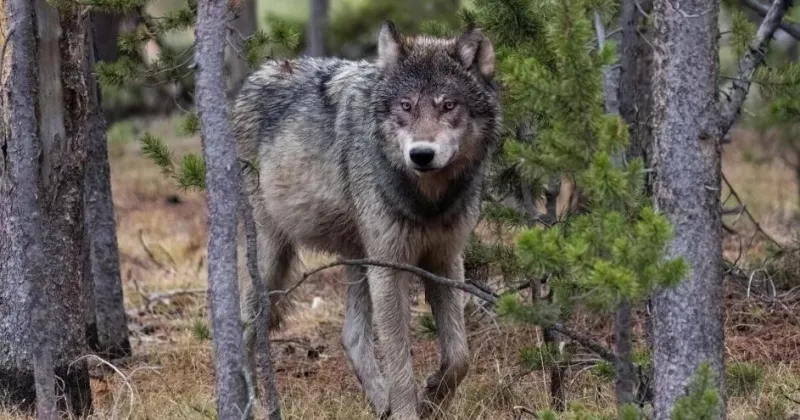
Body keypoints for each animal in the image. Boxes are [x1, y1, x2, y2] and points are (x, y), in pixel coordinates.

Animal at [233, 21, 501, 419]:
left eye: (448, 105)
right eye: (406, 106)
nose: (421, 154)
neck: (428, 200)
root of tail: (256, 75)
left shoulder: (445, 260)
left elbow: (459, 357)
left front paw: (432, 397)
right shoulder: (389, 268)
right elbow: (400, 362)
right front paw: (408, 410)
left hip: (358, 257)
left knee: (352, 336)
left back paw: (381, 403)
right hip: (270, 260)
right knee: (243, 327)